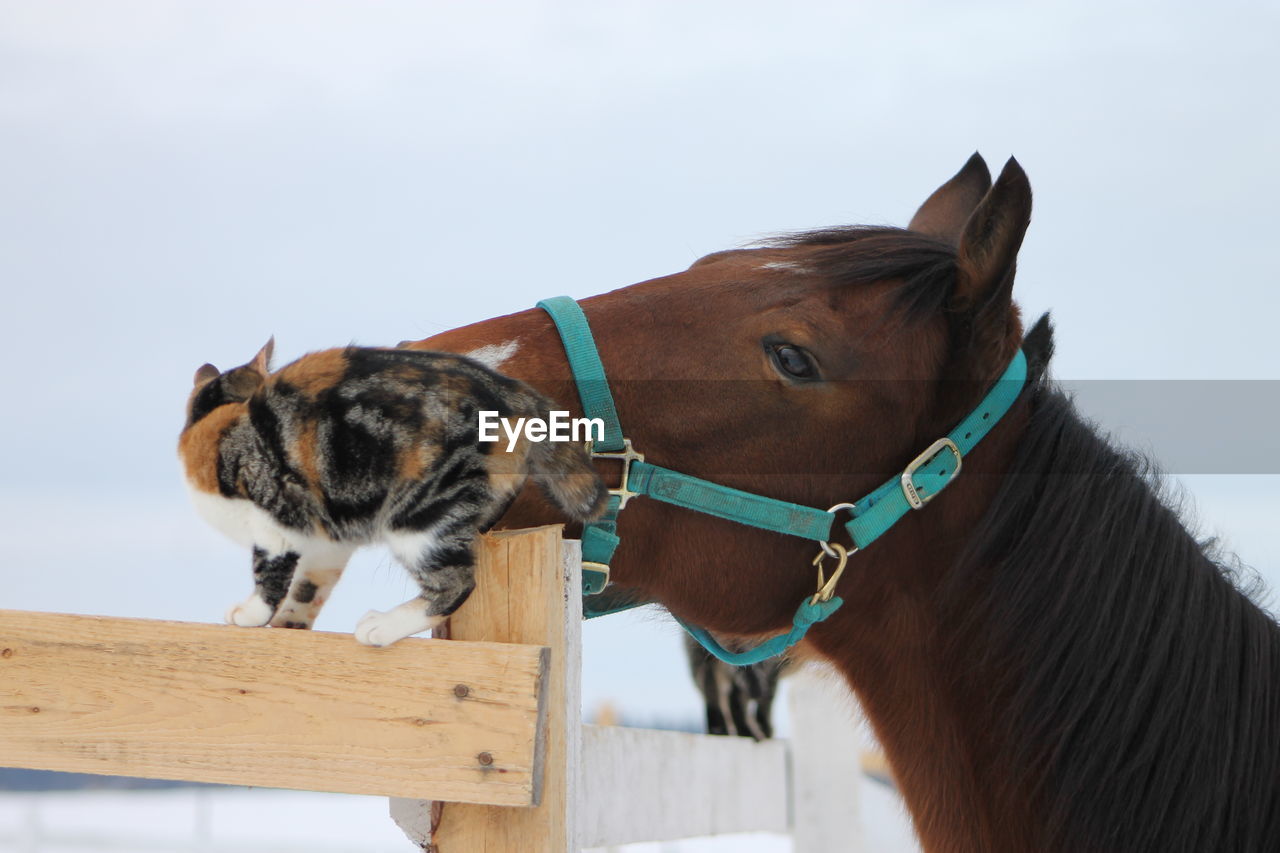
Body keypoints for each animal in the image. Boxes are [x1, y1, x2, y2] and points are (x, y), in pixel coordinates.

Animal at [176, 338, 609, 645]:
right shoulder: (326, 540)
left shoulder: (274, 515)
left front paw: (250, 615)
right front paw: (289, 624)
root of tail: (510, 393)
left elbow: (269, 573)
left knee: (456, 584)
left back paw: (382, 627)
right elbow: (309, 585)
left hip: (420, 514)